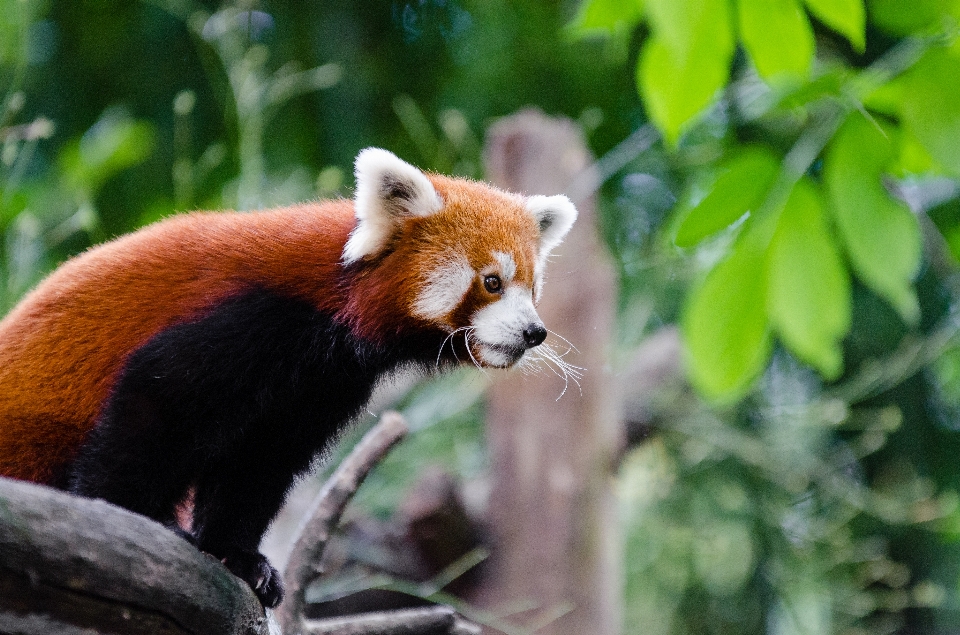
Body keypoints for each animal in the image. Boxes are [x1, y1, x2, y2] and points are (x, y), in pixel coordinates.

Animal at [0, 148, 572, 608]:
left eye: (531, 287)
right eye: (492, 282)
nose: (534, 332)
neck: (331, 311)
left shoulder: (317, 387)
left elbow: (259, 466)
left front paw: (236, 556)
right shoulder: (244, 321)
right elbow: (151, 409)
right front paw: (126, 517)